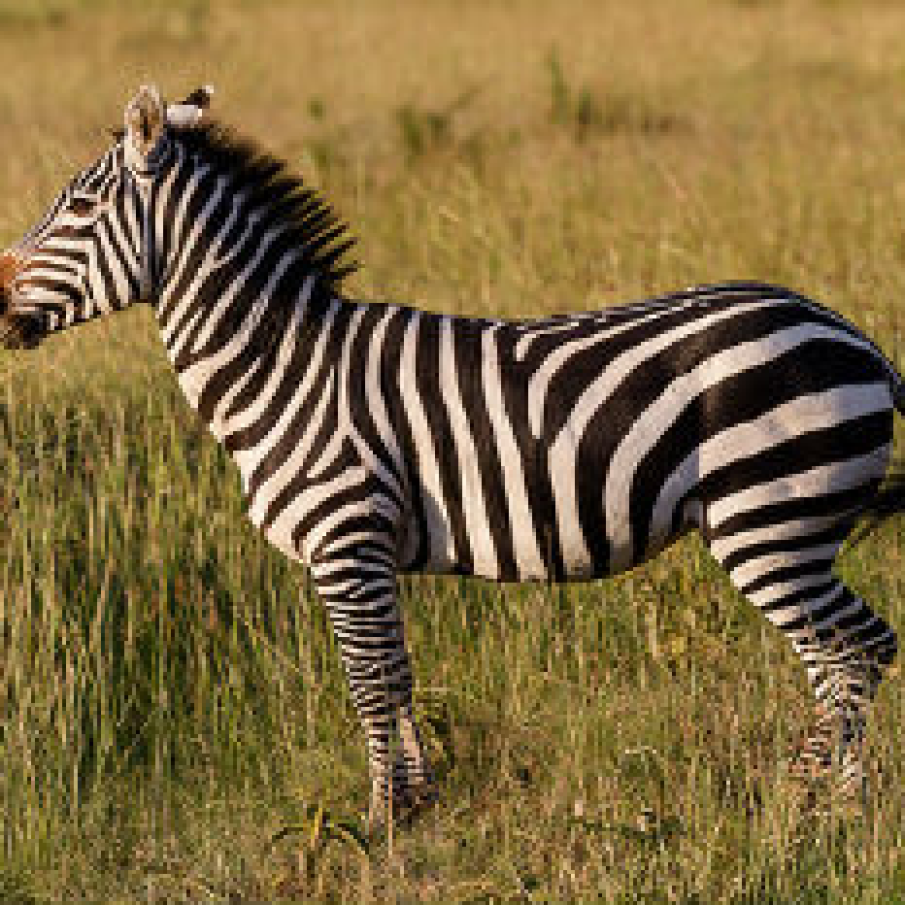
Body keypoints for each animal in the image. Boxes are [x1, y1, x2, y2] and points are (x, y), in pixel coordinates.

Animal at [1, 84, 901, 825]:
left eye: (78, 206)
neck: (285, 362)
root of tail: (852, 335)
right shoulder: (370, 551)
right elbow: (397, 674)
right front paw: (417, 803)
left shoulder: (344, 538)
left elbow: (368, 683)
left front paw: (378, 823)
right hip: (785, 527)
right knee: (845, 657)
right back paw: (835, 805)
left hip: (769, 521)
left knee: (855, 650)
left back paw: (814, 805)